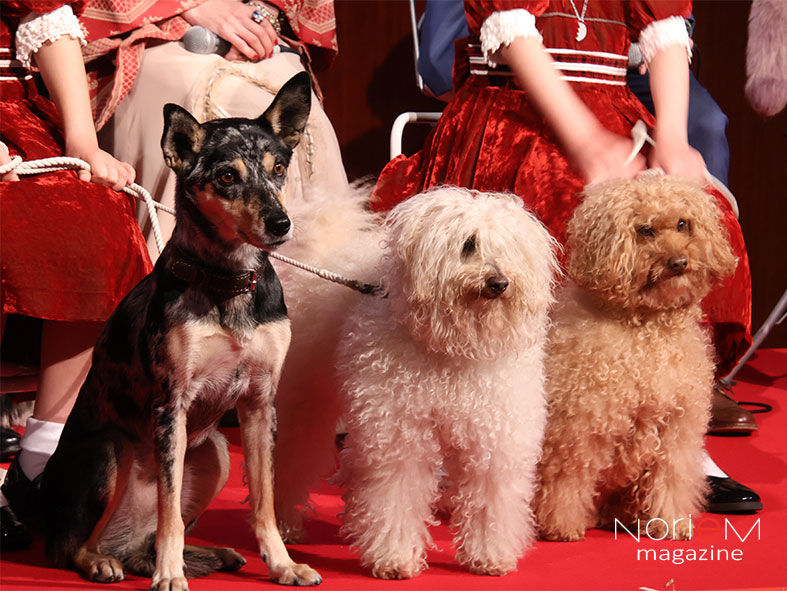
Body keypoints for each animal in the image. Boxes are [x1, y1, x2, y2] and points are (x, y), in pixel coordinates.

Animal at [38, 72, 322, 589]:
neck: (229, 280)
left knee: (146, 540)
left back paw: (204, 554)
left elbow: (265, 503)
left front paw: (282, 564)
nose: (281, 223)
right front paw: (170, 576)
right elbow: (168, 510)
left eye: (278, 169)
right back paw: (105, 562)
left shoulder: (259, 403)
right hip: (110, 452)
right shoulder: (172, 403)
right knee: (73, 546)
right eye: (227, 176)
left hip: (216, 453)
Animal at [273, 186, 560, 578]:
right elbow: (396, 495)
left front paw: (489, 556)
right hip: (309, 402)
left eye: (509, 247)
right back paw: (284, 524)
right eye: (468, 244)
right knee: (292, 459)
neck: (452, 348)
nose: (499, 283)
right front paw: (393, 558)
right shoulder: (399, 436)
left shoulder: (494, 440)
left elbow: (490, 496)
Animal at [533, 172, 738, 542]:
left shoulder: (676, 427)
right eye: (646, 230)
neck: (647, 327)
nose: (679, 263)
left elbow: (670, 477)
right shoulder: (580, 426)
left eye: (683, 224)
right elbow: (568, 479)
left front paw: (671, 522)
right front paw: (563, 526)